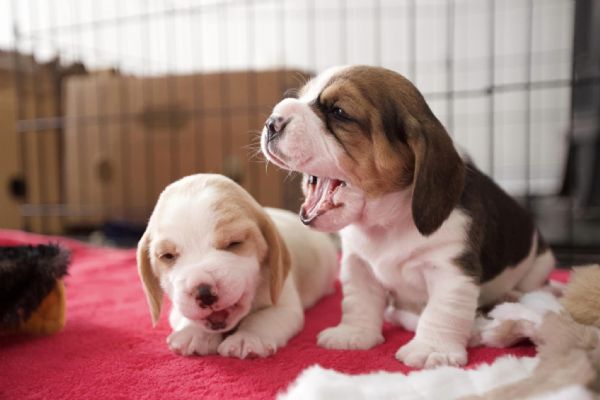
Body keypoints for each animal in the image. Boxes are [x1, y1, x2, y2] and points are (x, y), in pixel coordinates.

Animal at [138, 173, 340, 358]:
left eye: (233, 243)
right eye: (167, 256)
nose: (203, 292)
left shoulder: (284, 305)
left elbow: (262, 318)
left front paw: (248, 338)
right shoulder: (179, 306)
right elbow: (187, 316)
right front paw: (193, 332)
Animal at [260, 65, 556, 368]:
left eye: (339, 111)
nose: (272, 123)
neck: (386, 223)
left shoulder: (451, 271)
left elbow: (441, 312)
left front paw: (431, 349)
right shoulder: (357, 264)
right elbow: (359, 301)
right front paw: (353, 334)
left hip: (540, 264)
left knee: (536, 286)